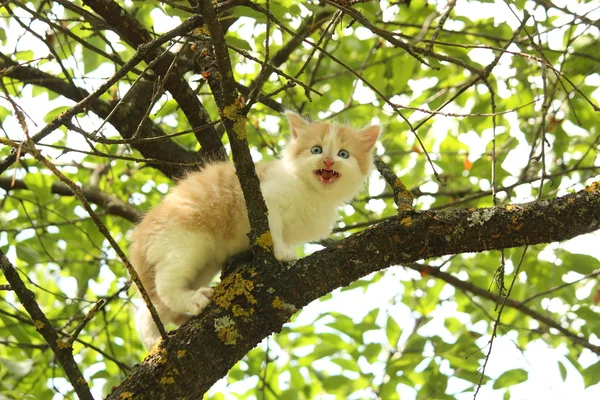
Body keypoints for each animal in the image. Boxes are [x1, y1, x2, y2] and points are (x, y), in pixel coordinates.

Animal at [131, 111, 380, 348]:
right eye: (316, 150)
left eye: (343, 154)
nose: (328, 161)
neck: (312, 192)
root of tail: (139, 238)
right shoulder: (267, 200)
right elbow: (273, 232)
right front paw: (282, 253)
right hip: (182, 243)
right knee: (165, 286)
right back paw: (192, 301)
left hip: (201, 266)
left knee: (150, 311)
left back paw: (156, 339)